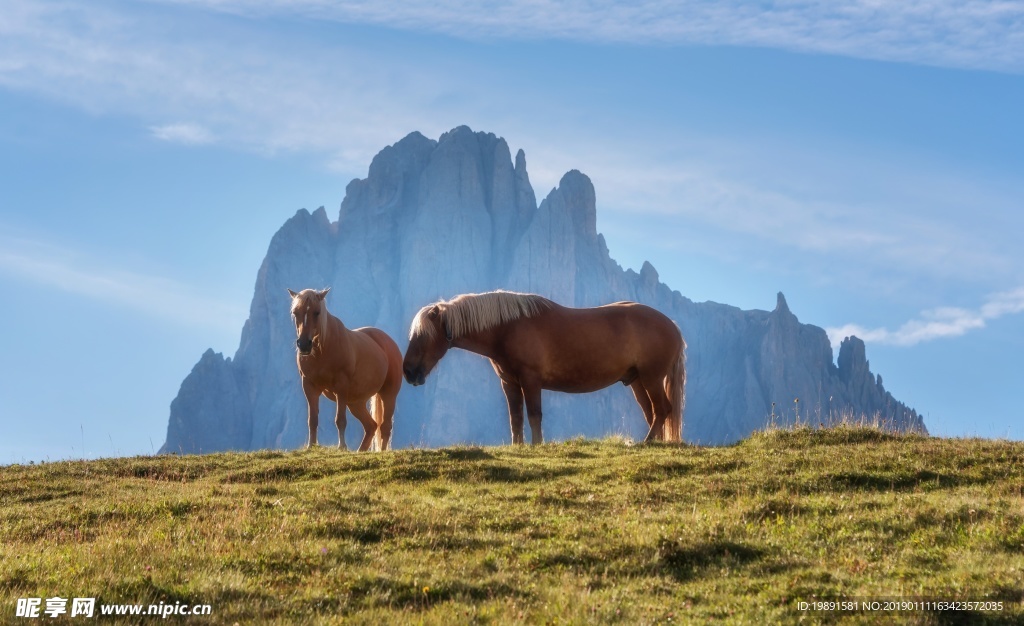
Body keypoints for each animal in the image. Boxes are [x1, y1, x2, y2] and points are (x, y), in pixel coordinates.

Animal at [288, 288, 403, 450]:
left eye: (317, 312)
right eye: (295, 312)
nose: (304, 344)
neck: (323, 350)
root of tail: (389, 342)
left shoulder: (341, 387)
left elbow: (340, 420)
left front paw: (342, 447)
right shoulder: (309, 386)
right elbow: (313, 419)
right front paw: (311, 446)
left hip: (388, 394)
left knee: (385, 427)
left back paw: (381, 451)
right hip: (355, 402)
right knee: (371, 426)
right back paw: (360, 451)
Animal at [401, 293, 688, 446]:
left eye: (423, 336)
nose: (409, 372)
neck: (508, 328)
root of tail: (673, 326)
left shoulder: (531, 380)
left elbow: (534, 415)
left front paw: (537, 445)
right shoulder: (510, 383)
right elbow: (516, 418)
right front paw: (518, 447)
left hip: (651, 378)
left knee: (662, 410)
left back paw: (648, 442)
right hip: (638, 381)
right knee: (653, 412)